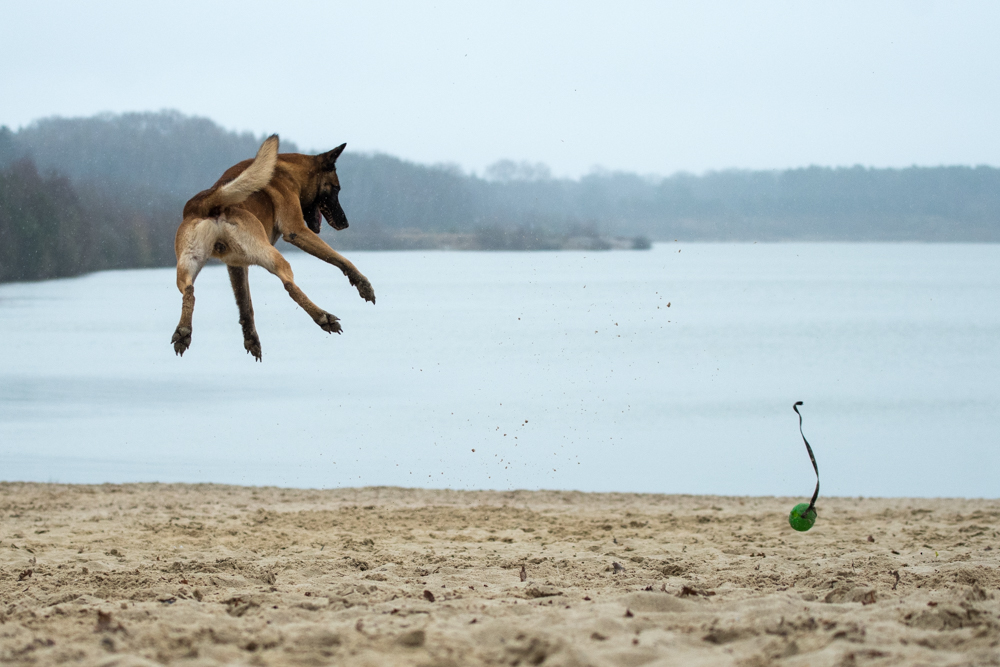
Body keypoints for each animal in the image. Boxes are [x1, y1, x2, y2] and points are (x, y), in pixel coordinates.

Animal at [172, 134, 376, 360]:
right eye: (337, 189)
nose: (345, 223)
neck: (289, 171)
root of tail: (208, 201)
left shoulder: (236, 265)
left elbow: (245, 306)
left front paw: (251, 338)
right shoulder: (296, 231)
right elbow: (341, 258)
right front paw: (363, 284)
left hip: (188, 264)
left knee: (189, 290)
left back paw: (183, 332)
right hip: (271, 255)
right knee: (290, 286)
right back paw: (323, 317)